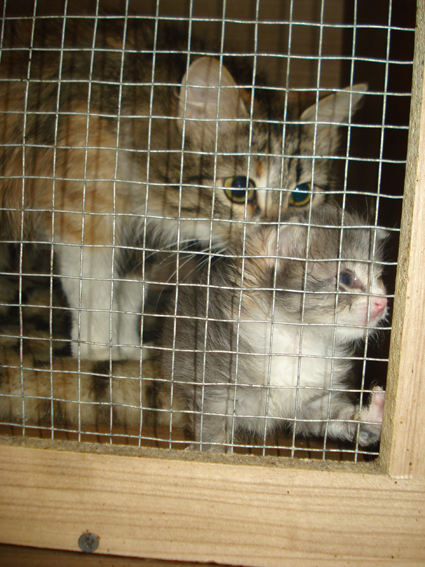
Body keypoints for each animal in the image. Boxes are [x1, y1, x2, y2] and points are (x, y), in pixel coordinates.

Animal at [0, 13, 367, 360]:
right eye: (238, 188)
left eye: (301, 195)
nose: (277, 236)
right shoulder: (84, 216)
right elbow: (95, 294)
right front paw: (97, 354)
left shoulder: (143, 242)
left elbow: (126, 298)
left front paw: (129, 352)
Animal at [160, 203, 388, 452]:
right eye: (346, 277)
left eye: (379, 277)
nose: (383, 301)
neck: (297, 340)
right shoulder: (213, 385)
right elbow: (212, 430)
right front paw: (211, 453)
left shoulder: (309, 403)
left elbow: (332, 417)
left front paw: (372, 417)